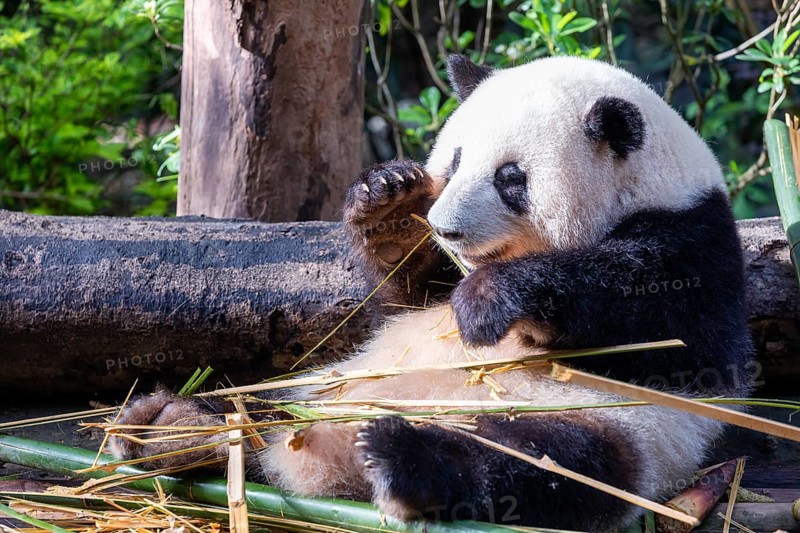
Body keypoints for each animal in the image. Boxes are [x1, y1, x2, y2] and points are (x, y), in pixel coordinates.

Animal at [111, 55, 754, 531]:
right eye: (456, 157)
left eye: (511, 178)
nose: (445, 227)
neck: (649, 189)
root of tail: (325, 466)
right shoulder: (424, 290)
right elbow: (402, 295)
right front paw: (389, 201)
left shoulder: (699, 248)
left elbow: (661, 324)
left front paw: (488, 301)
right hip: (320, 384)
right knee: (257, 406)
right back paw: (170, 424)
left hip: (609, 429)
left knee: (541, 464)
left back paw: (404, 460)